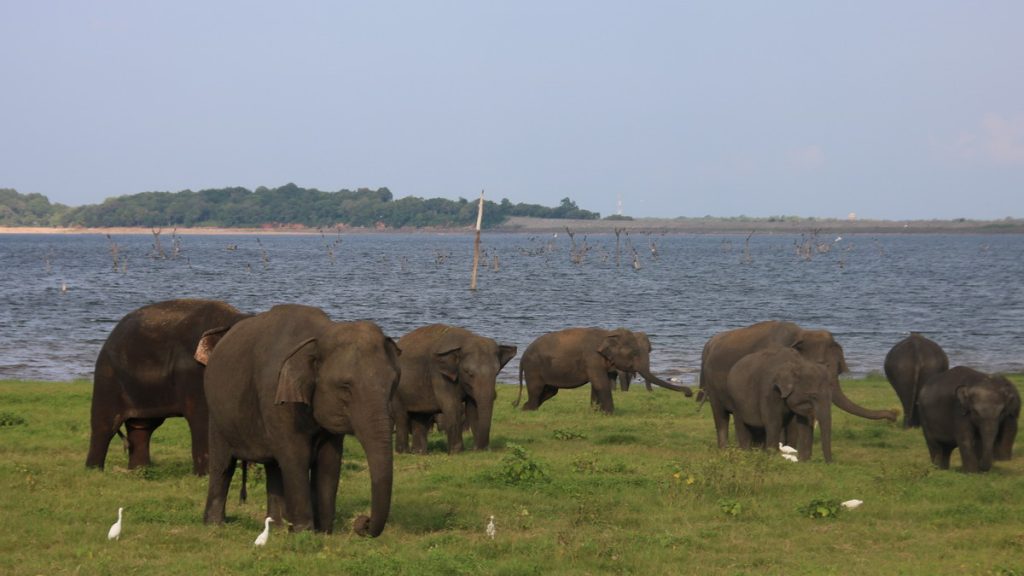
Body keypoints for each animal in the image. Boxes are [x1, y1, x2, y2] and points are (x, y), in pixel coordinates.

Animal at [86, 297, 249, 473]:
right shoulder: (192, 372)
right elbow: (201, 417)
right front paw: (205, 475)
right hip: (107, 376)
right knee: (105, 425)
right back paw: (94, 471)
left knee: (142, 427)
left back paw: (139, 471)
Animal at [198, 305, 399, 532]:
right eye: (345, 387)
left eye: (394, 382)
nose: (362, 522)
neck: (320, 334)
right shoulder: (276, 395)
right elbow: (296, 456)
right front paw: (304, 531)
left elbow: (329, 460)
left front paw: (324, 531)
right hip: (217, 411)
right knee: (223, 464)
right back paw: (214, 524)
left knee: (273, 466)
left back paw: (276, 527)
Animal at [393, 323, 520, 453]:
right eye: (469, 373)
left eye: (496, 372)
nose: (481, 448)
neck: (464, 342)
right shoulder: (439, 374)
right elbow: (451, 405)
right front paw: (457, 452)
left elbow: (472, 408)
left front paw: (477, 450)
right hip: (397, 390)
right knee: (402, 416)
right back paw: (403, 451)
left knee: (420, 416)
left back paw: (419, 452)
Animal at [516, 325, 692, 409]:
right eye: (634, 352)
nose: (689, 393)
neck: (608, 334)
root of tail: (522, 356)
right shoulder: (592, 358)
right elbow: (600, 383)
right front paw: (610, 414)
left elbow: (598, 385)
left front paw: (595, 412)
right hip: (533, 368)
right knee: (537, 389)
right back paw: (529, 409)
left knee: (550, 391)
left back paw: (526, 408)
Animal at [696, 317, 897, 453]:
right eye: (822, 366)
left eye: (840, 369)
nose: (893, 415)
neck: (802, 334)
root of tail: (709, 344)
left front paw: (790, 449)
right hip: (714, 387)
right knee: (721, 416)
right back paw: (725, 450)